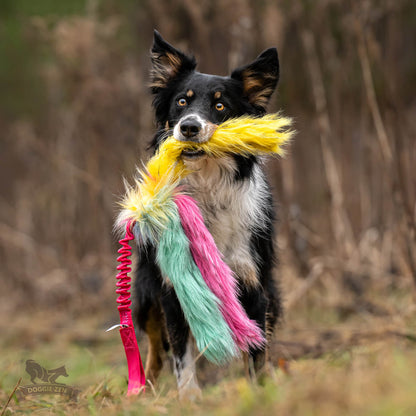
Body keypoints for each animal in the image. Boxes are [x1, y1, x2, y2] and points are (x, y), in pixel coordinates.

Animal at [133, 30, 282, 398]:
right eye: (181, 102)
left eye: (220, 105)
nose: (188, 127)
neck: (208, 186)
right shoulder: (172, 288)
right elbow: (181, 353)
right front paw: (189, 399)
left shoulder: (253, 283)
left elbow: (257, 350)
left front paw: (261, 392)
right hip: (144, 292)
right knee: (155, 348)